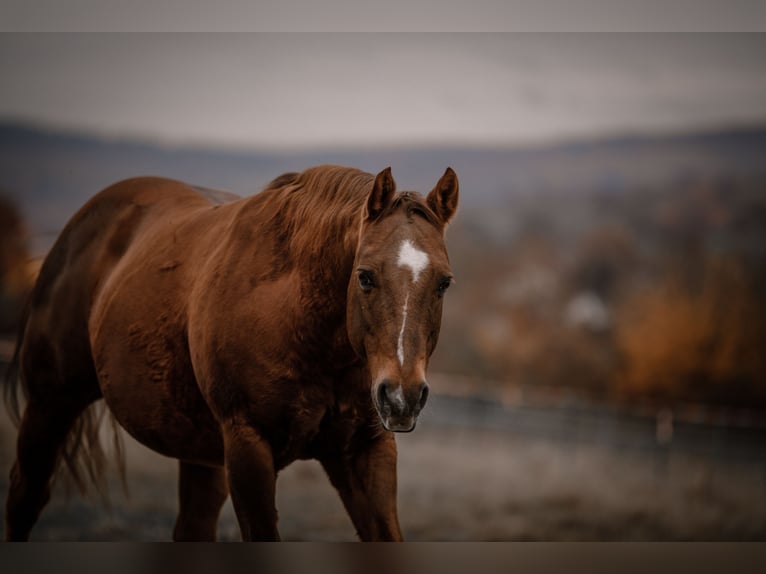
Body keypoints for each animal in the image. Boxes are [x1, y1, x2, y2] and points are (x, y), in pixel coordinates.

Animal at [3, 164, 460, 544]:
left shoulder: (367, 449)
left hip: (202, 454)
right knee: (25, 497)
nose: (401, 396)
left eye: (444, 283)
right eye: (364, 276)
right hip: (50, 406)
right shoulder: (247, 445)